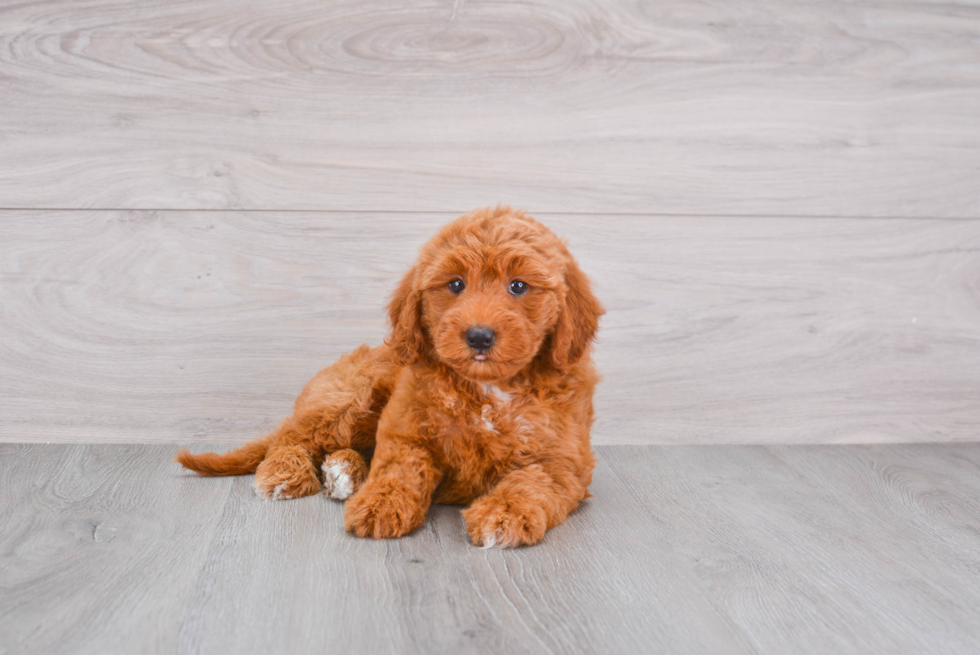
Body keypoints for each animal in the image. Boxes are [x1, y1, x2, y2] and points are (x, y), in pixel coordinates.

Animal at [178, 206, 604, 548]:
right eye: (455, 284)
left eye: (518, 286)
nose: (479, 335)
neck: (487, 390)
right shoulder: (407, 429)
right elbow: (400, 468)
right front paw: (381, 503)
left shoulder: (563, 459)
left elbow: (532, 482)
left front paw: (504, 514)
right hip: (351, 394)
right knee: (291, 437)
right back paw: (288, 471)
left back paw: (343, 472)